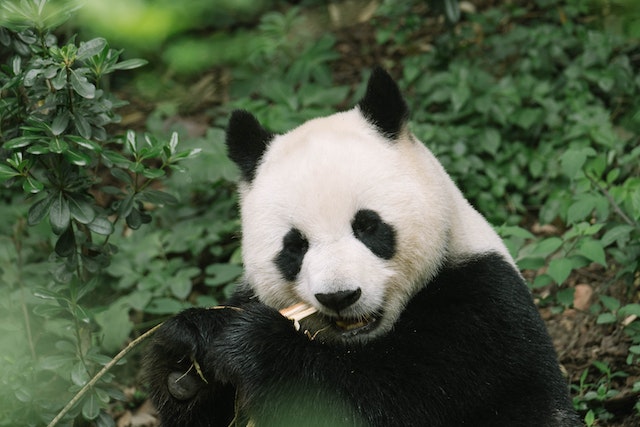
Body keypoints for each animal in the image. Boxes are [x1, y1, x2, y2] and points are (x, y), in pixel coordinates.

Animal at [144, 68, 580, 427]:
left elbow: (387, 399)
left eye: (368, 226)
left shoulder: (480, 312)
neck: (356, 343)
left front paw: (253, 346)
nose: (339, 296)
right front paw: (187, 352)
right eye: (294, 247)